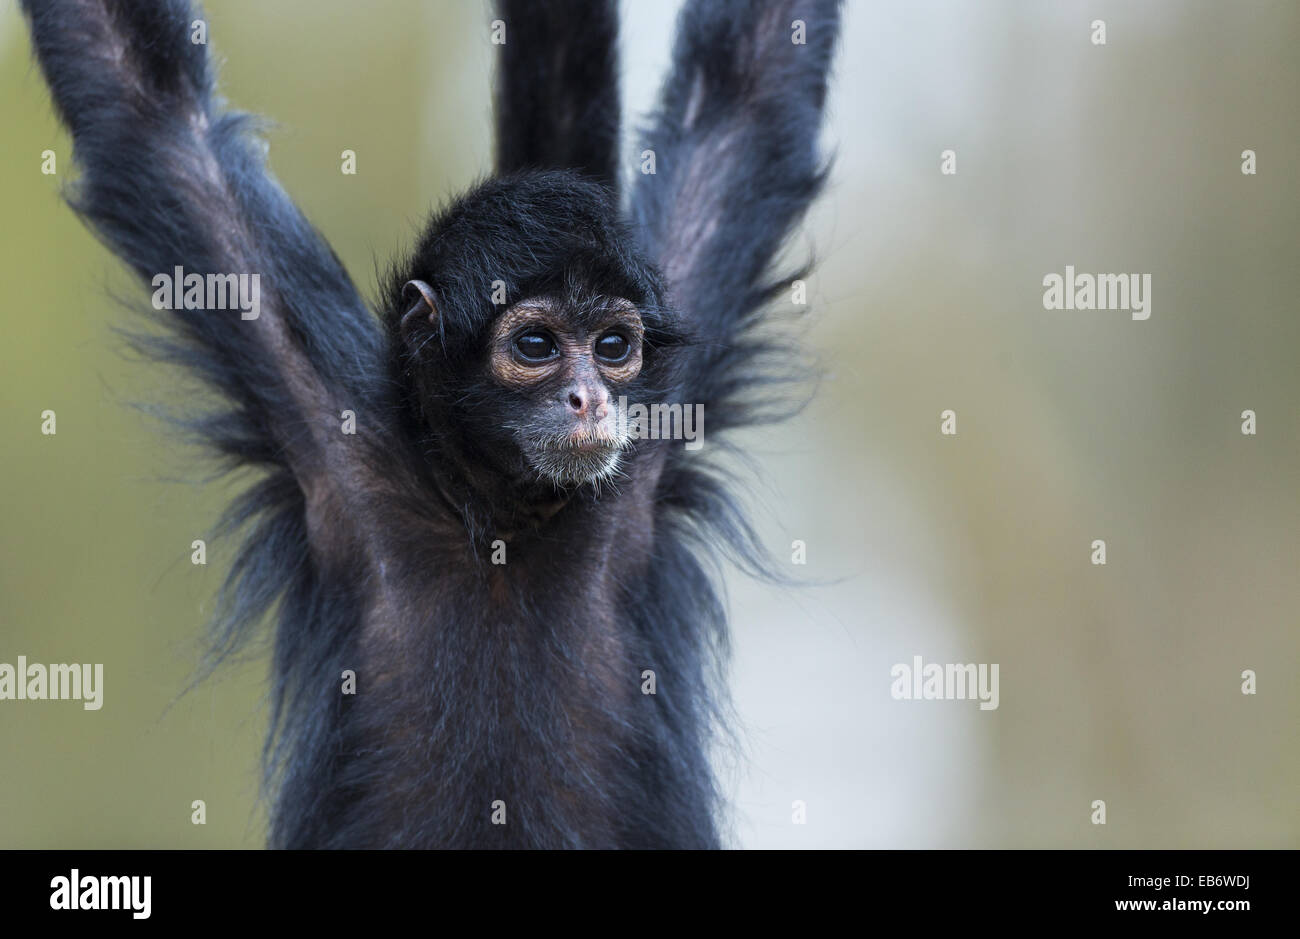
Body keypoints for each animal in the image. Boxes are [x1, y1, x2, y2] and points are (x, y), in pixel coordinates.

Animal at [18, 0, 842, 848]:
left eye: (613, 346)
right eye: (537, 345)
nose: (590, 397)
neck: (500, 521)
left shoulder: (649, 433)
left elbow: (747, 90)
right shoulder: (331, 429)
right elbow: (146, 104)